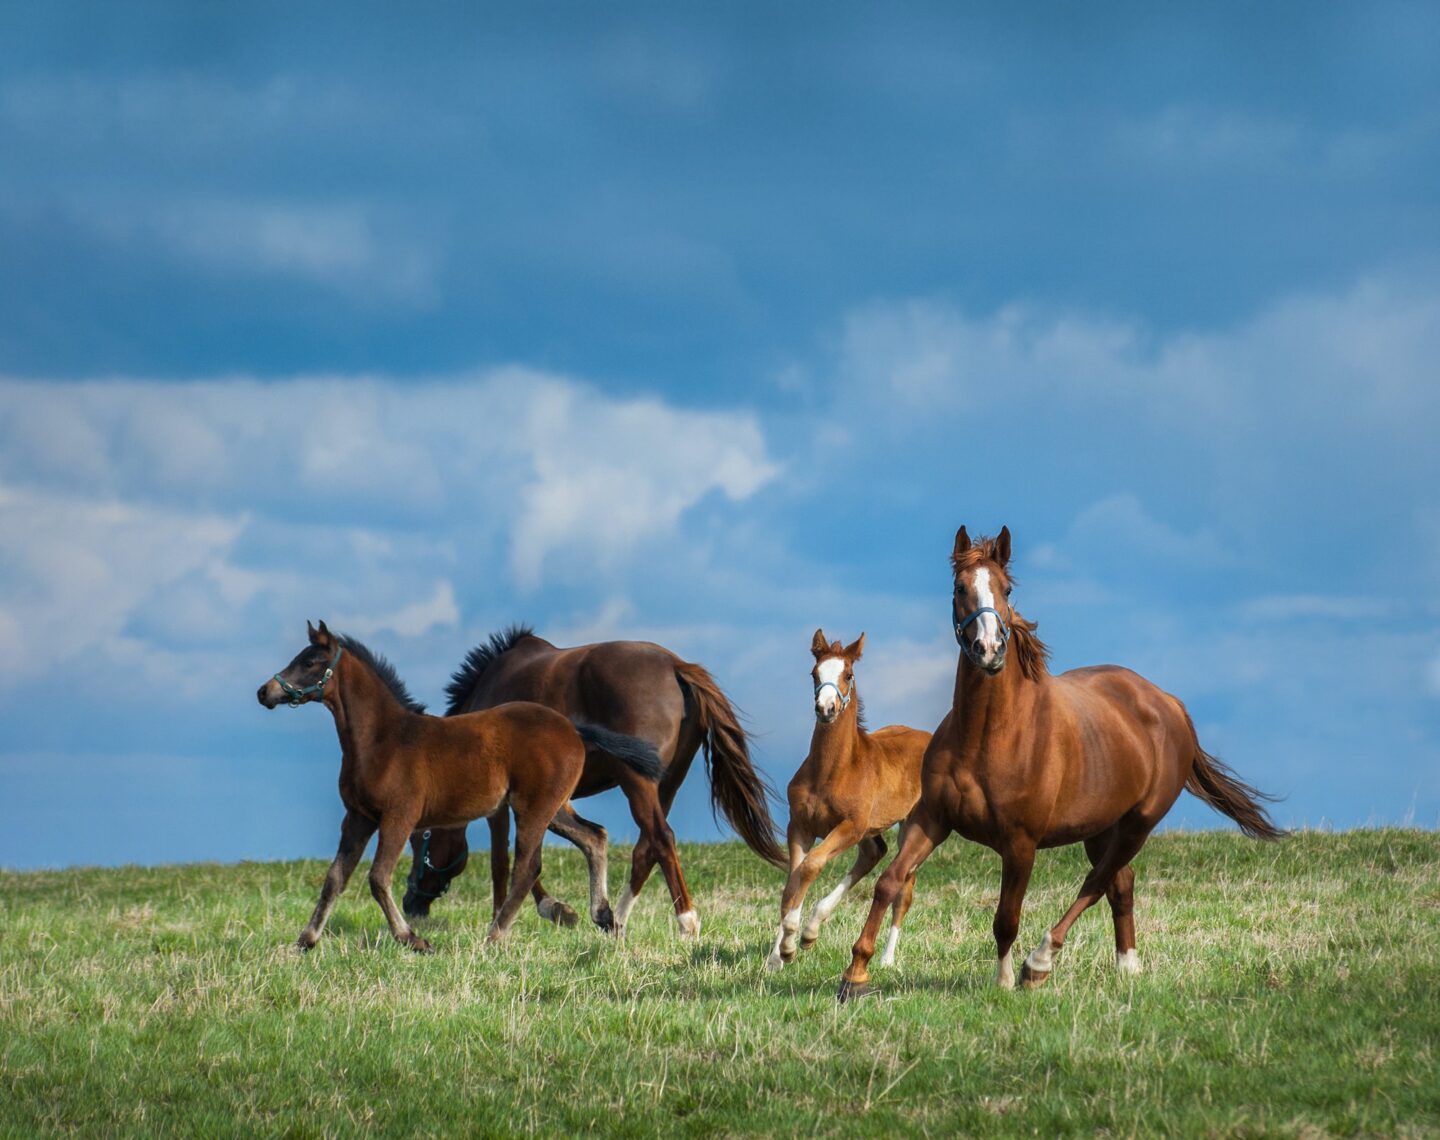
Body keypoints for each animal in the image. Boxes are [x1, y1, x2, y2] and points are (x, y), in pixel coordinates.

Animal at [259, 624, 662, 955]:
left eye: (311, 662)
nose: (266, 691)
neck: (382, 739)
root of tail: (573, 728)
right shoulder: (358, 817)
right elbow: (335, 878)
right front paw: (305, 941)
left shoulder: (399, 817)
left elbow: (377, 878)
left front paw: (413, 939)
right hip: (554, 807)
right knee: (594, 837)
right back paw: (603, 915)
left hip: (533, 808)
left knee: (528, 867)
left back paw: (495, 936)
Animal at [400, 627, 789, 938]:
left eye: (421, 838)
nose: (410, 903)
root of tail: (676, 667)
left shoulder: (503, 803)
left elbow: (505, 860)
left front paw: (518, 913)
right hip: (665, 784)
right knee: (646, 847)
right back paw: (617, 921)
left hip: (636, 781)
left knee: (661, 838)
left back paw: (686, 921)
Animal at [766, 633, 933, 973]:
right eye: (814, 674)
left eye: (848, 675)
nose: (826, 708)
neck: (833, 770)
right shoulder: (799, 825)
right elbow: (791, 884)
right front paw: (779, 955)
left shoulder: (851, 826)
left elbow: (812, 865)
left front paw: (793, 941)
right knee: (873, 853)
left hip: (910, 826)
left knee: (903, 890)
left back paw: (886, 958)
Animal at [835, 529, 1284, 1001]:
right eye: (960, 588)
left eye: (1006, 589)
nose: (989, 650)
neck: (989, 736)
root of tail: (1169, 704)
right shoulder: (931, 820)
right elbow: (889, 882)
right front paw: (855, 975)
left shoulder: (1020, 844)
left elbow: (1006, 918)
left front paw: (1005, 981)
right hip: (1100, 828)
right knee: (1120, 883)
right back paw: (1127, 966)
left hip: (1138, 824)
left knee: (1097, 883)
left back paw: (1040, 962)